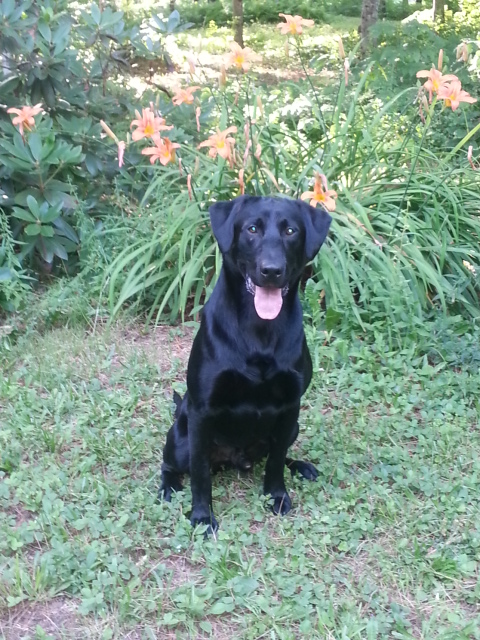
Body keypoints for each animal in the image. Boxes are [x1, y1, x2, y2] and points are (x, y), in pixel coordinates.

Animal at [159, 192, 332, 532]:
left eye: (290, 231)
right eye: (252, 229)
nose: (271, 270)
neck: (258, 330)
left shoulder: (290, 406)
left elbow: (276, 461)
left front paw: (277, 496)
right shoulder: (201, 411)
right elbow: (200, 475)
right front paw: (202, 516)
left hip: (293, 427)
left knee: (278, 453)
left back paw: (301, 466)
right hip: (181, 438)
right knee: (171, 464)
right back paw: (168, 487)